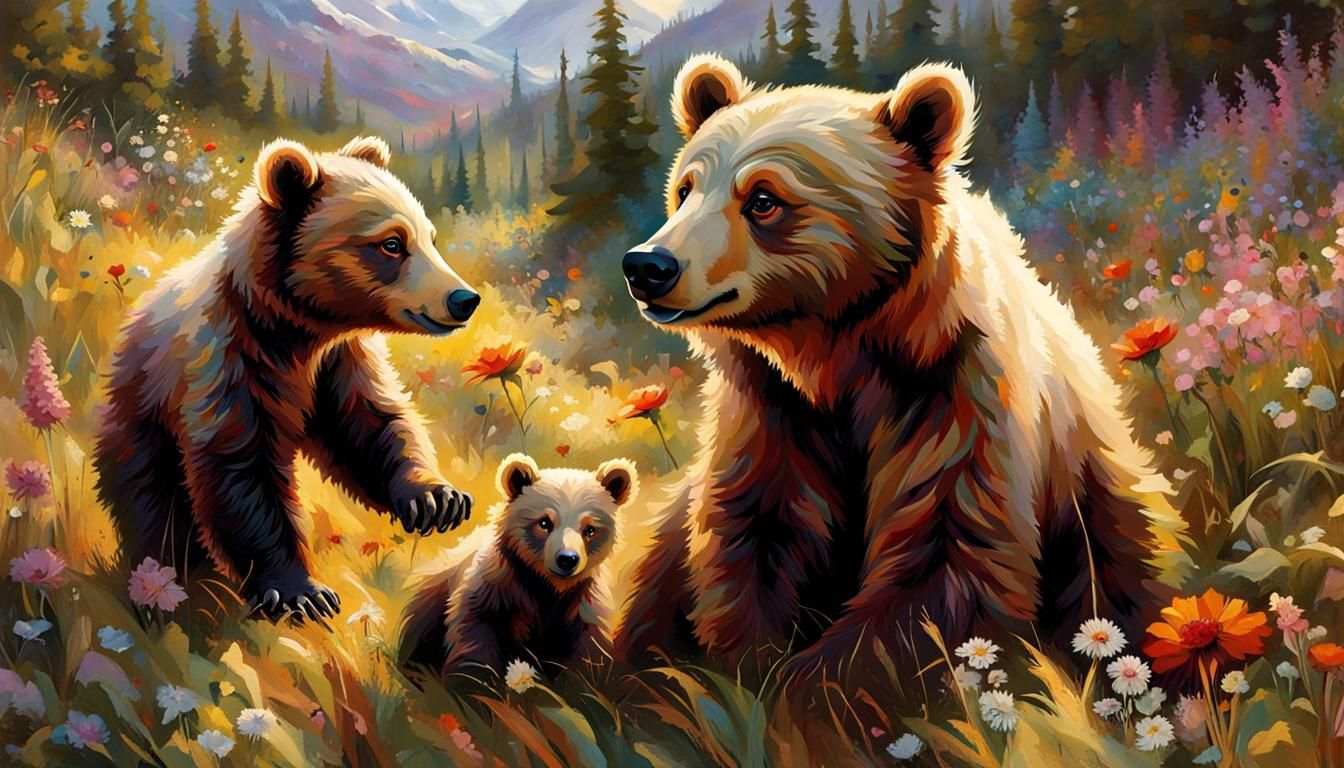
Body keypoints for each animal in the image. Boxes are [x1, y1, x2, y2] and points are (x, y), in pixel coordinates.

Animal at [94, 136, 479, 622]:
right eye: (392, 243)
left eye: (429, 237)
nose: (463, 298)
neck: (296, 329)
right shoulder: (232, 361)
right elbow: (242, 468)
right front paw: (301, 591)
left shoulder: (340, 362)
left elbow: (372, 424)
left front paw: (436, 499)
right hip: (142, 421)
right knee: (153, 504)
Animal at [399, 454, 636, 677]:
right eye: (544, 522)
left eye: (589, 529)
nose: (567, 559)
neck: (547, 587)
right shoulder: (496, 593)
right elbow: (474, 639)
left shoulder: (582, 606)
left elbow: (587, 653)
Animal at [612, 56, 1189, 679]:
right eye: (686, 188)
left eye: (763, 198)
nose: (648, 265)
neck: (832, 352)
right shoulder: (771, 412)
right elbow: (754, 536)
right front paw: (745, 666)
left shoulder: (950, 393)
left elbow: (943, 555)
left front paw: (809, 678)